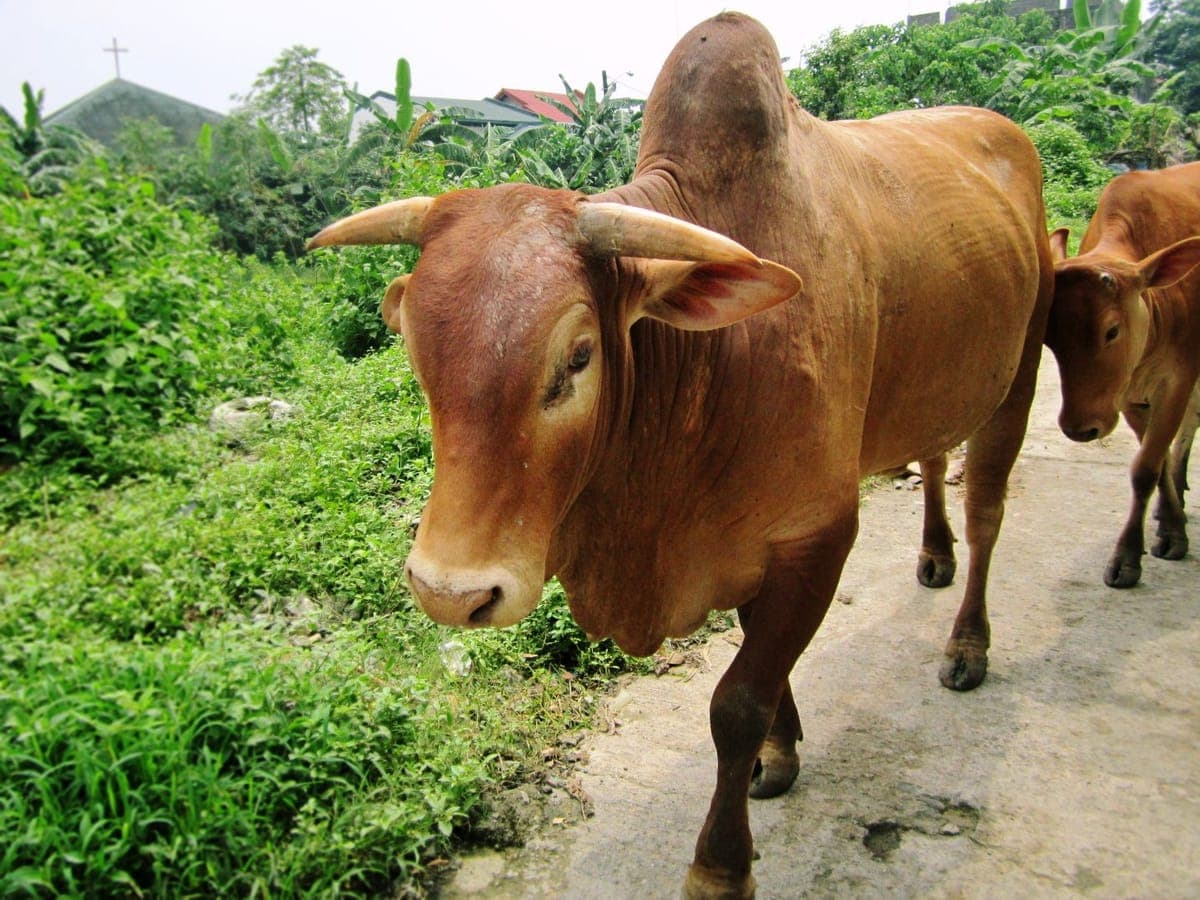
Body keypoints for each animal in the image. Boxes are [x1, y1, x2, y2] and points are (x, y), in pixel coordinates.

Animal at [307, 13, 1053, 899]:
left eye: (580, 356)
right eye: (418, 355)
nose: (449, 593)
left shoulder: (817, 533)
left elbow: (738, 703)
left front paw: (721, 863)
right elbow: (758, 665)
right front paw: (780, 753)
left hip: (1019, 373)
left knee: (988, 511)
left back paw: (968, 643)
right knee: (937, 460)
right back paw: (933, 558)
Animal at [1046, 160, 1200, 589]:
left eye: (1112, 331)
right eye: (1049, 339)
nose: (1082, 428)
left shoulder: (1178, 380)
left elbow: (1146, 467)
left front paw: (1131, 556)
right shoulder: (1128, 394)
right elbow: (1155, 462)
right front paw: (1170, 522)